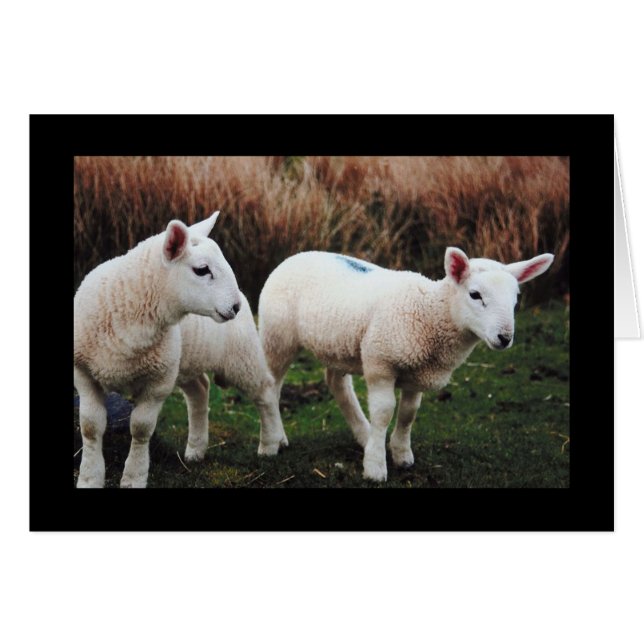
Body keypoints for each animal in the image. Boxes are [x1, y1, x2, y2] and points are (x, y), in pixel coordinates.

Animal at [74, 212, 243, 488]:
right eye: (202, 270)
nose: (236, 306)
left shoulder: (159, 383)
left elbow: (141, 429)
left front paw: (134, 477)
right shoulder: (84, 374)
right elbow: (90, 427)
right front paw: (90, 478)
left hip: (242, 357)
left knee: (266, 393)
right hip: (184, 363)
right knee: (201, 389)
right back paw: (196, 449)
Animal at [258, 247, 554, 482]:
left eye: (516, 299)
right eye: (475, 294)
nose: (505, 338)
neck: (431, 312)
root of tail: (297, 255)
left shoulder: (418, 373)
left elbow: (409, 413)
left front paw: (401, 454)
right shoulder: (380, 364)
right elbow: (384, 413)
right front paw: (375, 467)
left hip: (339, 345)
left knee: (336, 383)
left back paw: (363, 434)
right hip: (278, 337)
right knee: (271, 388)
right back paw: (273, 440)